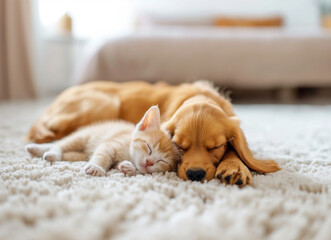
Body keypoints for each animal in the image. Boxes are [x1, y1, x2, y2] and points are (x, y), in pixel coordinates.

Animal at [26, 106, 180, 176]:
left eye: (162, 161)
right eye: (148, 147)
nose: (149, 162)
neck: (129, 152)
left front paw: (128, 167)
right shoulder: (110, 144)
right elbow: (102, 155)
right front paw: (97, 167)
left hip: (80, 154)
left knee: (69, 153)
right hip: (83, 136)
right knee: (60, 144)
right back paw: (49, 152)